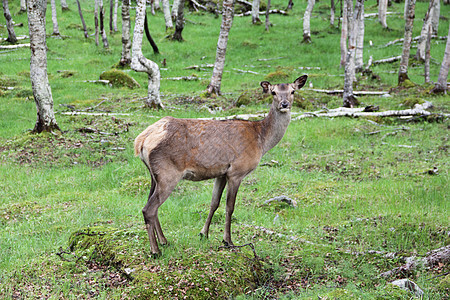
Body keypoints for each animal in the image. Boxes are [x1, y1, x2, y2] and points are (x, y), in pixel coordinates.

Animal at [135, 75, 308, 255]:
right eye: (273, 92)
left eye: (292, 91)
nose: (284, 104)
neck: (261, 141)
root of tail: (141, 140)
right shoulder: (237, 171)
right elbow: (229, 206)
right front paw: (228, 241)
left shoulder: (221, 173)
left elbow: (214, 203)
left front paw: (204, 233)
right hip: (168, 173)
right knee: (149, 208)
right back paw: (155, 250)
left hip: (154, 175)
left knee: (150, 205)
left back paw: (164, 241)